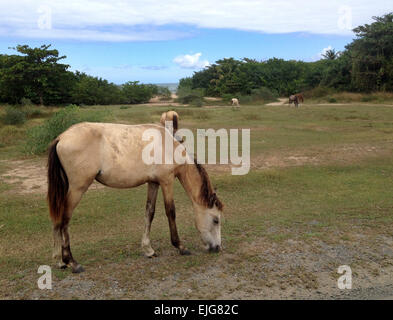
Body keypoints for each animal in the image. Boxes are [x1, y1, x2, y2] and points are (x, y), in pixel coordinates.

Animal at [47, 122, 222, 272]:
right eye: (216, 220)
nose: (218, 248)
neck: (168, 146)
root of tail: (61, 137)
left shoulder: (153, 183)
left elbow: (149, 212)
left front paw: (148, 250)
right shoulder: (167, 181)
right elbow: (170, 212)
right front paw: (180, 246)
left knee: (58, 219)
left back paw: (59, 261)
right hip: (77, 189)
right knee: (65, 220)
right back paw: (71, 262)